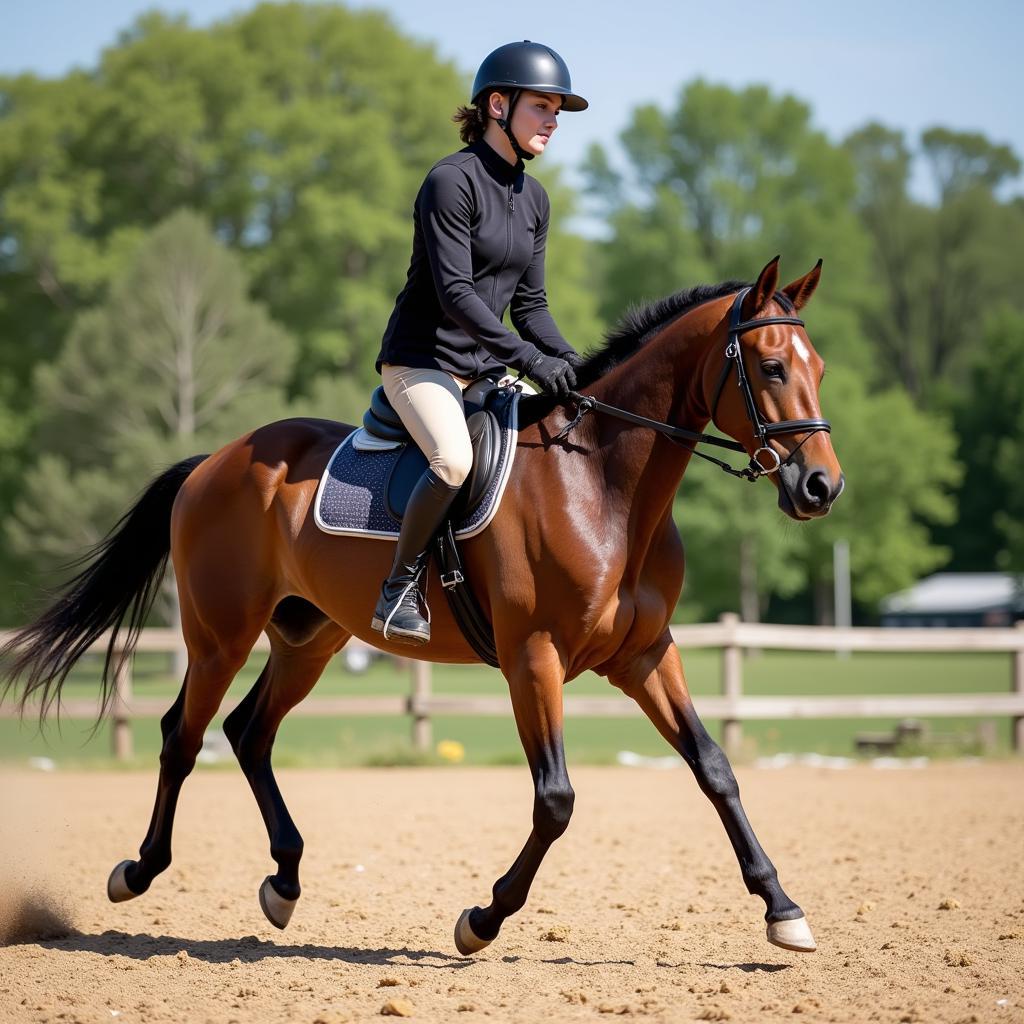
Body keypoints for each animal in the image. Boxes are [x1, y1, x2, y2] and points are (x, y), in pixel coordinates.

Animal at [4, 256, 843, 958]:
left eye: (820, 369)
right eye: (771, 367)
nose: (821, 487)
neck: (602, 482)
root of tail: (216, 459)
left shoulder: (644, 655)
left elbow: (715, 769)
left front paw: (783, 910)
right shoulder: (532, 657)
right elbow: (556, 800)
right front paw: (482, 919)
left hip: (307, 639)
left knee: (247, 732)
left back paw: (285, 881)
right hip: (220, 636)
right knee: (183, 735)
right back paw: (139, 872)